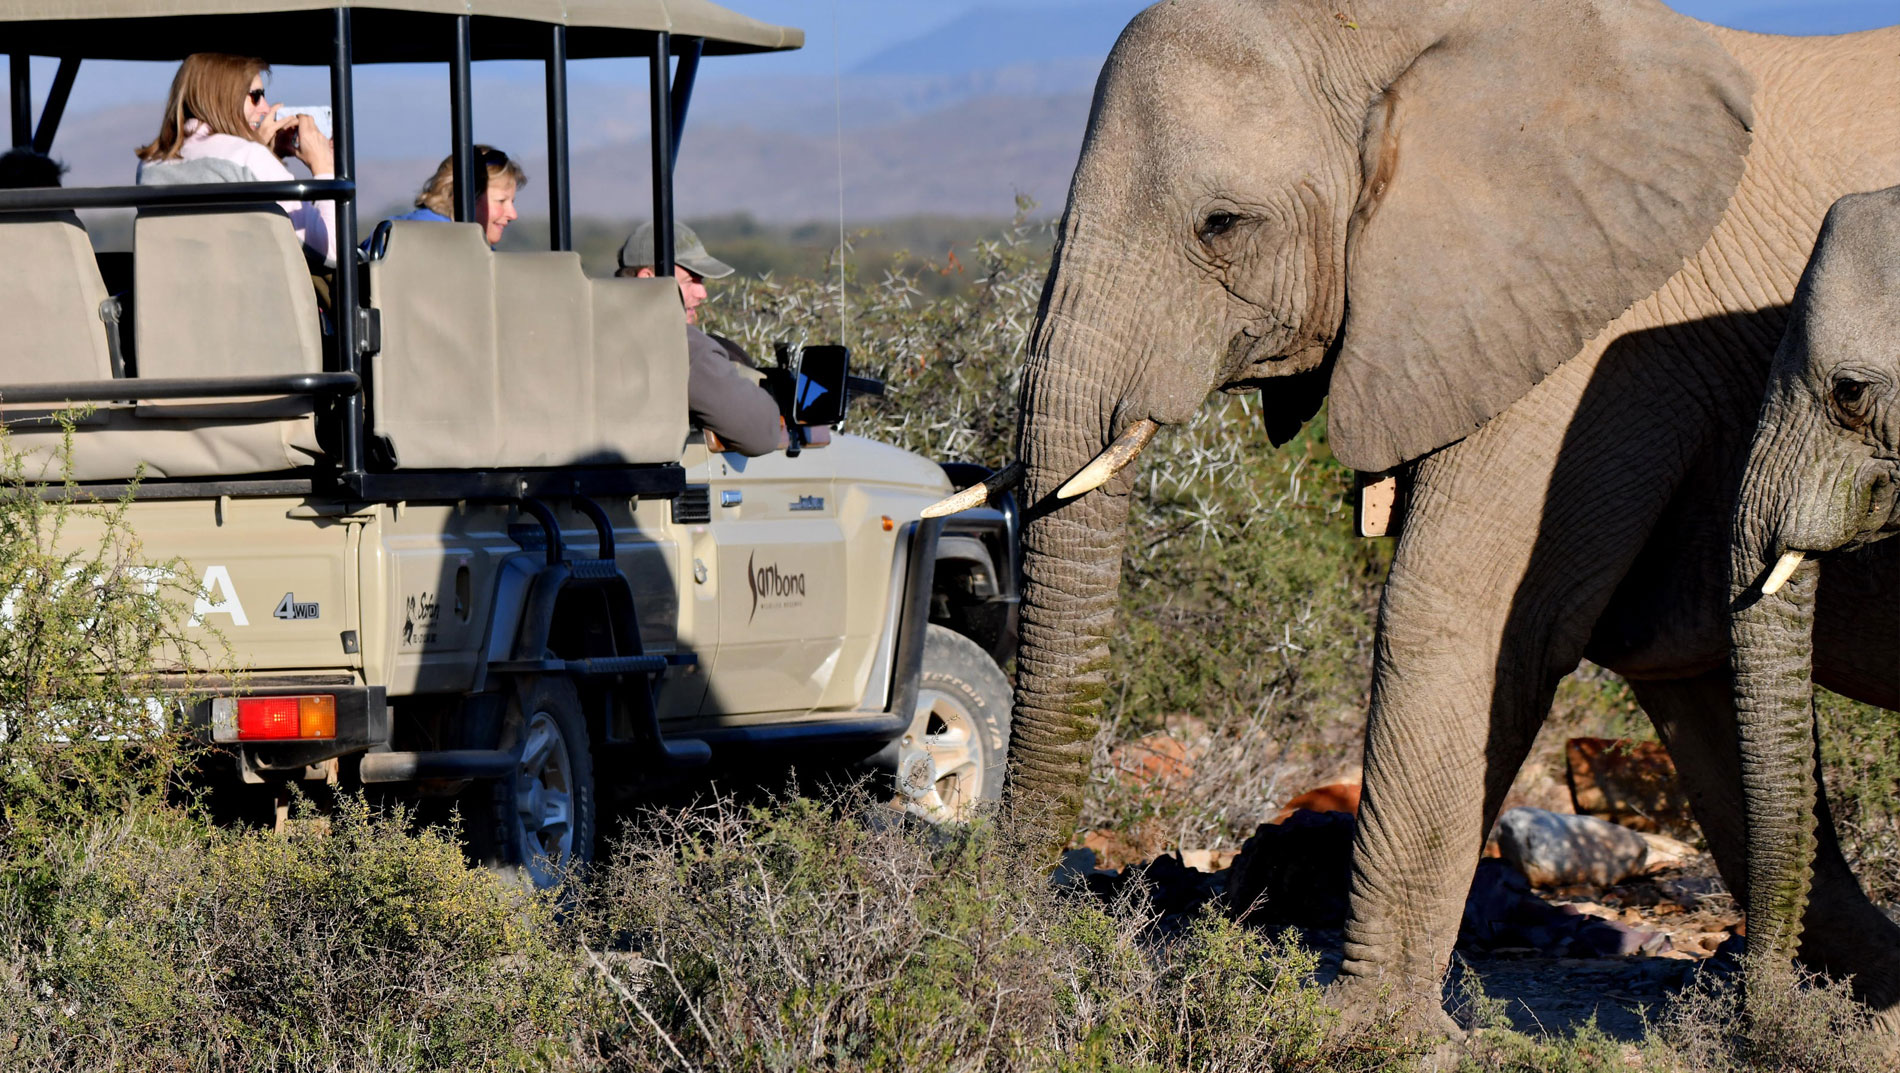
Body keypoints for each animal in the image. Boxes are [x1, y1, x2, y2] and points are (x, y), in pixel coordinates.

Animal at [974, 0, 1900, 1027]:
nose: (1017, 921)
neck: (1410, 31)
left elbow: (1464, 617)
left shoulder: (1593, 329)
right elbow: (1683, 667)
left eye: (1222, 225)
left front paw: (1367, 1034)